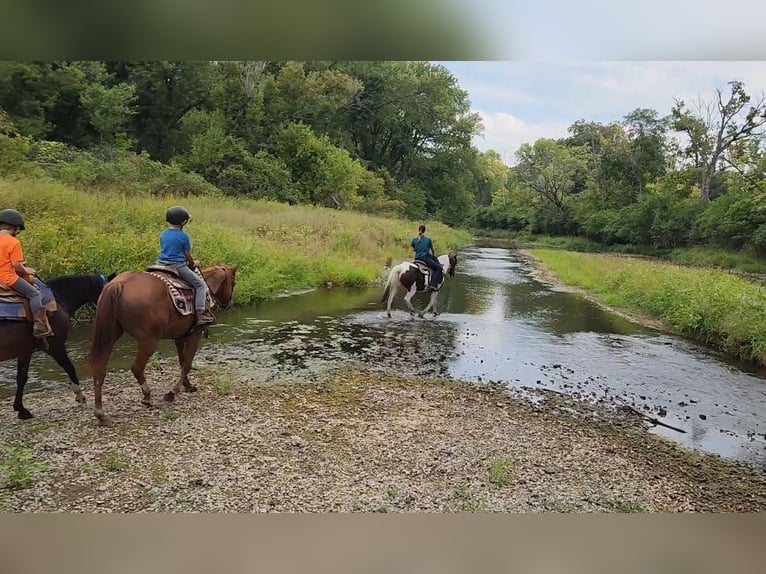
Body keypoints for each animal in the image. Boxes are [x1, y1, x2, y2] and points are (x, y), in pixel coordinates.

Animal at [0, 272, 115, 420]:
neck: (59, 300)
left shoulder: (25, 352)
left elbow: (21, 378)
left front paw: (21, 410)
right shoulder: (56, 347)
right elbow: (70, 367)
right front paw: (80, 396)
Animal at [84, 264, 240, 426]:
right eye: (233, 282)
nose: (228, 303)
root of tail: (118, 284)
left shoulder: (179, 337)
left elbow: (182, 362)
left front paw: (187, 385)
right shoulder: (195, 334)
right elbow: (187, 364)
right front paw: (172, 393)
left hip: (109, 336)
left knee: (99, 370)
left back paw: (101, 414)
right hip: (149, 340)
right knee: (137, 368)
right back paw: (147, 397)